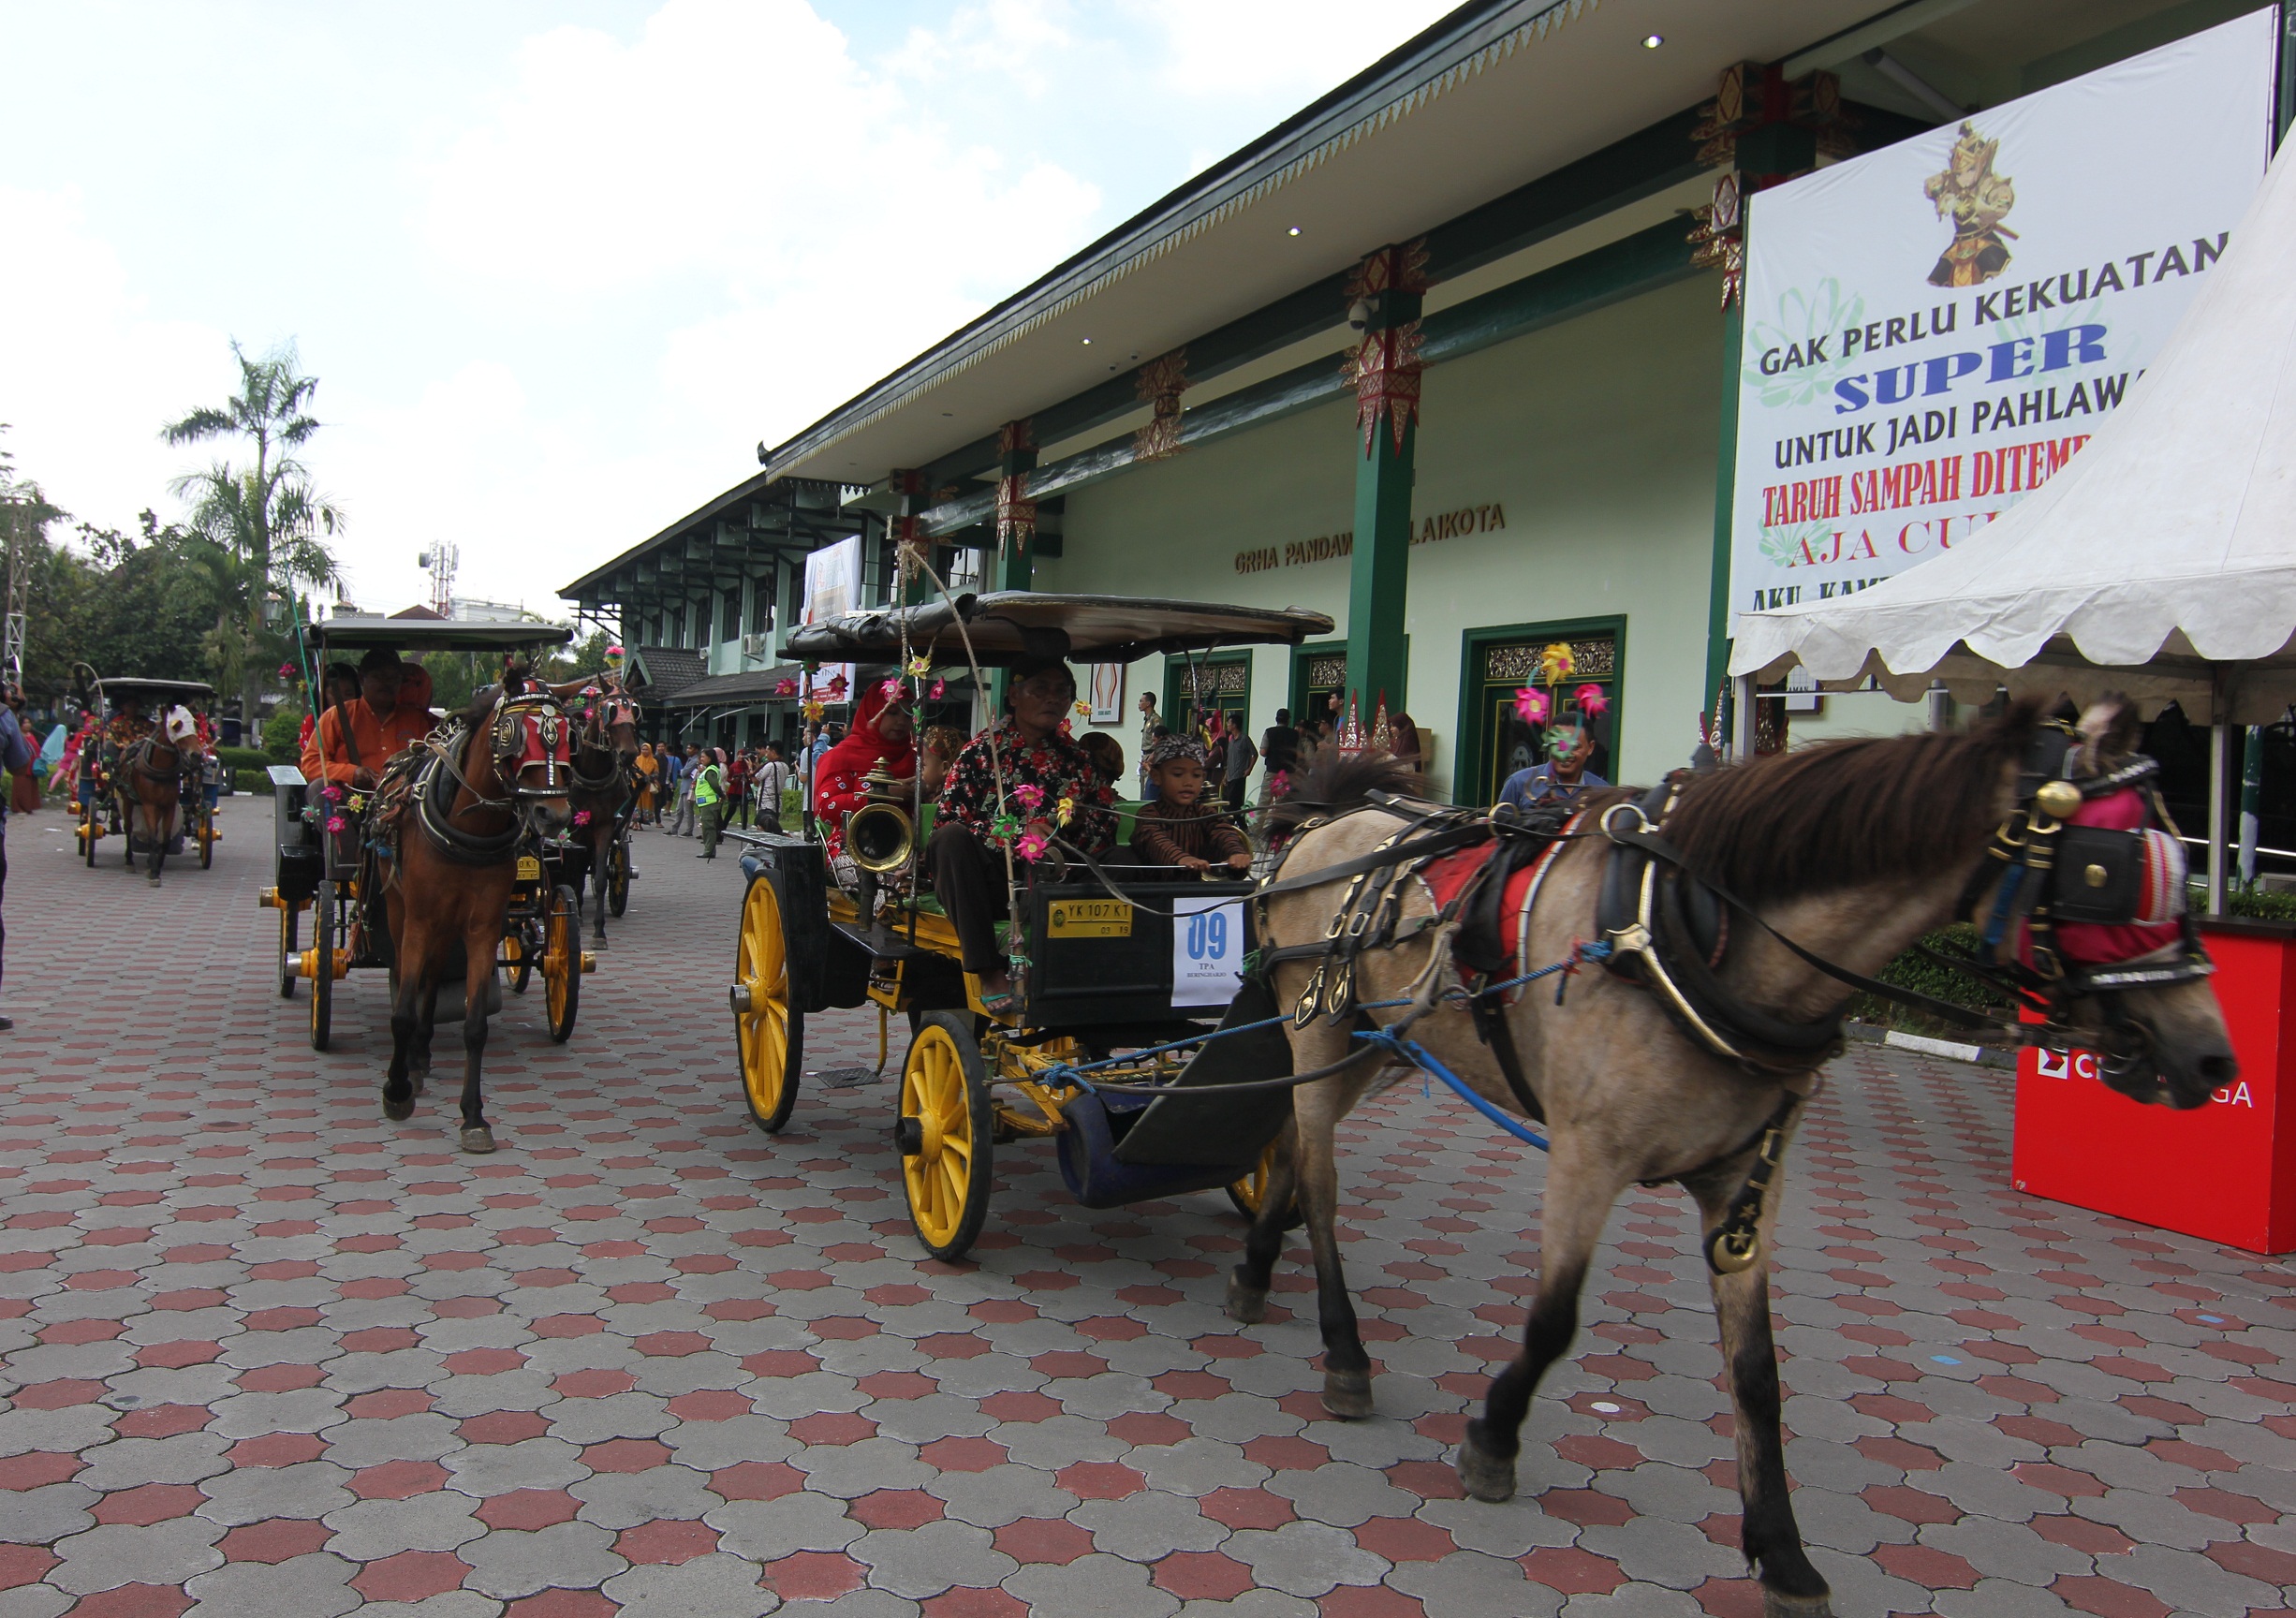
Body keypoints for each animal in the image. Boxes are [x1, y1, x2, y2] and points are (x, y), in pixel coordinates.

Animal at [1248, 702, 2231, 1615]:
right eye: (2109, 874)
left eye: (2179, 865)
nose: (2210, 1061)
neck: (1697, 932)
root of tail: (1327, 825)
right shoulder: (1587, 1156)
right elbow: (1555, 1321)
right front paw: (1493, 1438)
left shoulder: (1745, 1182)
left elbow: (1756, 1374)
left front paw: (1784, 1554)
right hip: (1319, 1021)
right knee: (1324, 1185)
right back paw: (1343, 1350)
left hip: (1373, 1042)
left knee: (1292, 1139)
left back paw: (1257, 1262)